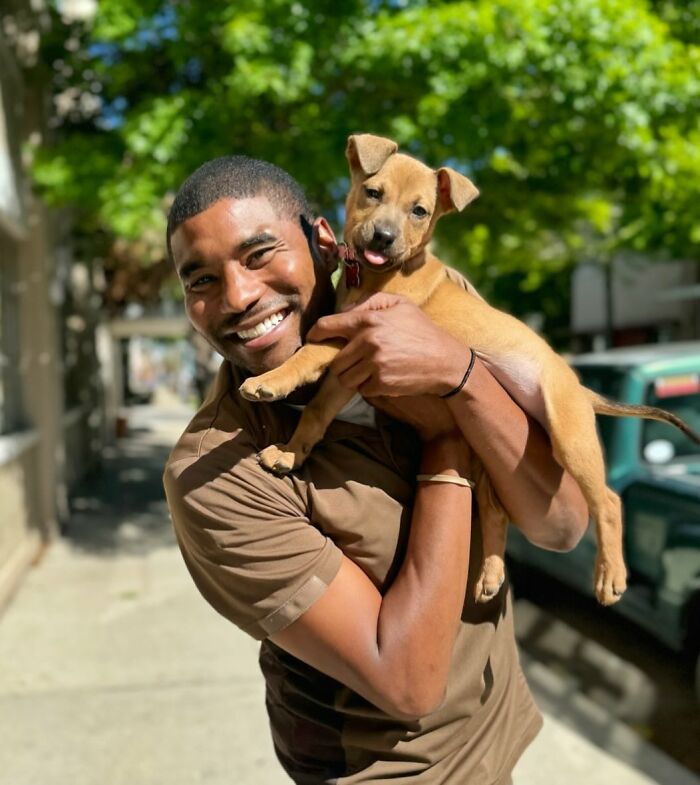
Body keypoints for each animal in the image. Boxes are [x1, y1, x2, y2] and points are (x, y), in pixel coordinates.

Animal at [238, 136, 696, 608]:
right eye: (373, 192)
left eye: (420, 211)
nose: (383, 237)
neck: (376, 277)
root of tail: (579, 387)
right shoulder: (349, 371)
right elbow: (317, 413)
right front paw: (290, 453)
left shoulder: (355, 339)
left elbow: (307, 354)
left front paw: (268, 382)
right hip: (491, 456)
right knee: (496, 511)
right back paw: (491, 574)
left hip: (569, 439)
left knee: (607, 500)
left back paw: (610, 576)